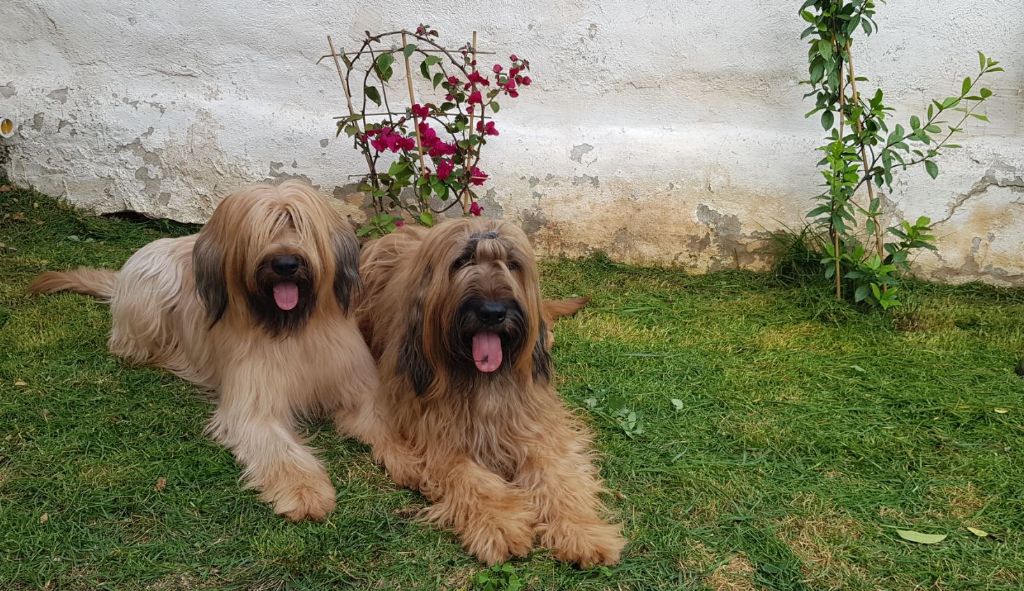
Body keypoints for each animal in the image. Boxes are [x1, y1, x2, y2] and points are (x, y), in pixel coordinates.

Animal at [29, 181, 391, 520]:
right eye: (261, 230)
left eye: (299, 224)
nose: (286, 264)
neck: (293, 328)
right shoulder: (253, 406)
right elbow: (278, 449)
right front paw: (305, 491)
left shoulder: (357, 386)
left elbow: (383, 422)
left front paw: (404, 459)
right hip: (152, 292)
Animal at [354, 218, 622, 565]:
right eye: (461, 261)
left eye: (512, 264)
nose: (493, 312)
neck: (479, 377)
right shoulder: (436, 435)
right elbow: (470, 478)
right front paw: (501, 524)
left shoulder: (534, 424)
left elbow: (557, 474)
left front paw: (581, 531)